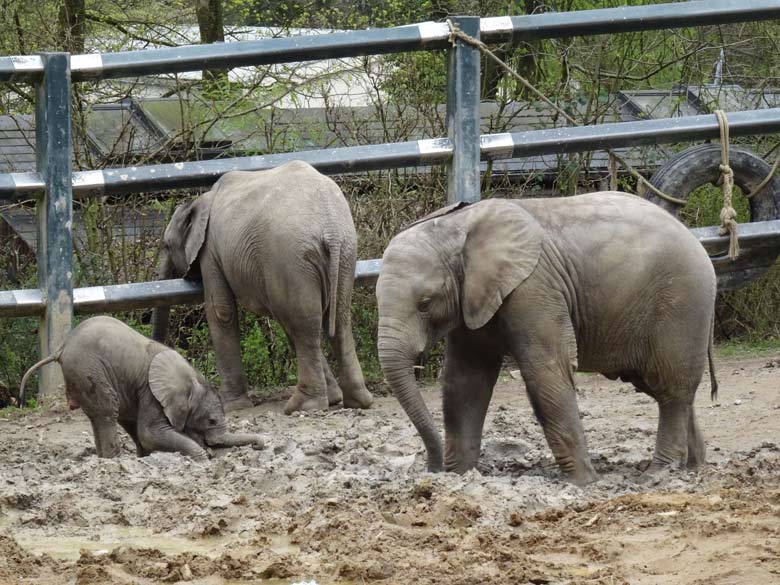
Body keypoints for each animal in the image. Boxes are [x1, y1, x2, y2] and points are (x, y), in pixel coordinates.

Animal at [17, 314, 262, 456]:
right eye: (211, 421)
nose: (260, 445)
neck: (191, 378)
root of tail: (62, 347)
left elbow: (139, 430)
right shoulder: (151, 393)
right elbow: (149, 434)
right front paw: (201, 457)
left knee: (104, 416)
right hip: (87, 369)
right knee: (108, 412)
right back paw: (113, 460)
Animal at [153, 160, 374, 416]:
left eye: (166, 246)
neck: (199, 200)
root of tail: (331, 228)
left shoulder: (211, 250)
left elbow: (221, 311)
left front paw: (233, 407)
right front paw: (334, 397)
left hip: (288, 256)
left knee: (303, 322)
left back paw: (302, 406)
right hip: (346, 252)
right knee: (335, 318)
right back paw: (356, 401)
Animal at [374, 192, 716, 484]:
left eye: (425, 303)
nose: (433, 470)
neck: (456, 227)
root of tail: (695, 239)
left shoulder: (534, 288)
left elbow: (546, 371)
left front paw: (583, 483)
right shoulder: (472, 297)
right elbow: (465, 381)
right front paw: (461, 477)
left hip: (681, 302)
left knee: (670, 388)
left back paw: (657, 475)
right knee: (662, 388)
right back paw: (694, 467)